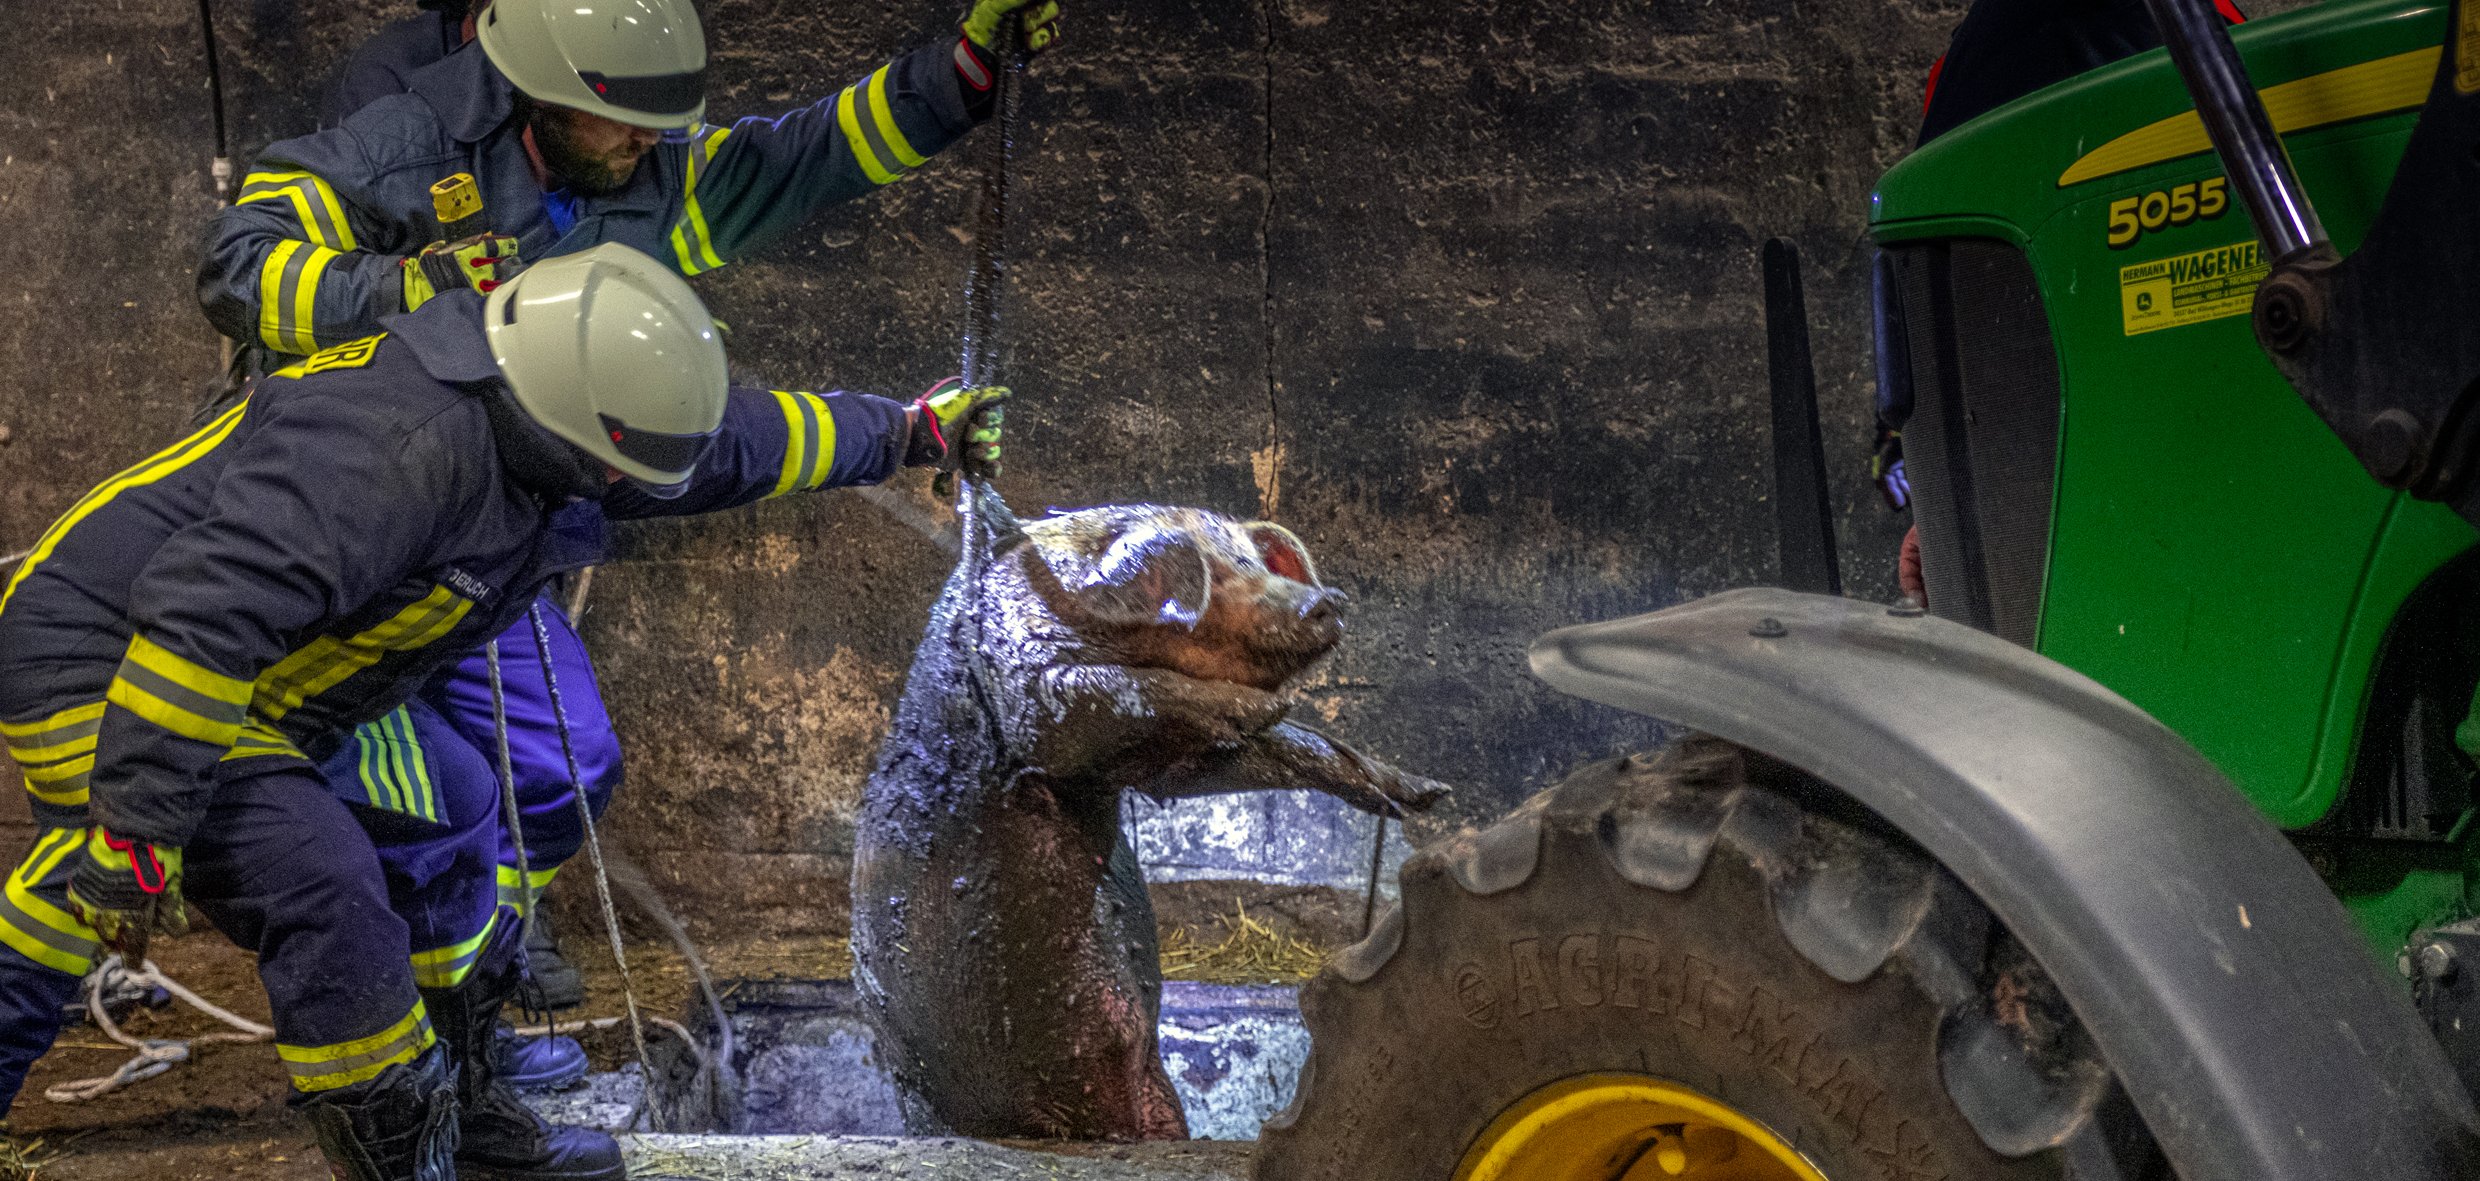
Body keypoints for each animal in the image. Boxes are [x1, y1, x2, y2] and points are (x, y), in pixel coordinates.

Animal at [851, 495, 1449, 1140]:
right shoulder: (1032, 680)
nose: (1327, 599)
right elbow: (1110, 696)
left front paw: (1423, 794)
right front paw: (1266, 705)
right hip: (933, 1104)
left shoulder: (1162, 761)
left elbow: (1249, 753)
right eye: (1214, 577)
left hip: (1160, 1100)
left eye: (1250, 558)